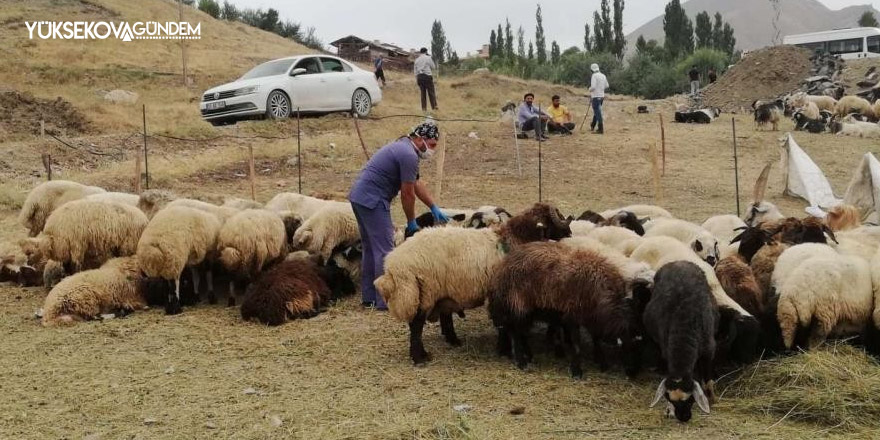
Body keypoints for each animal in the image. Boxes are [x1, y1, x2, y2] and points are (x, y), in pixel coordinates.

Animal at [18, 200, 149, 276]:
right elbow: (67, 265)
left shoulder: (77, 246)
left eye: (29, 252)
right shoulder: (68, 249)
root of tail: (144, 218)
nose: (28, 264)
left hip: (128, 244)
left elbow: (75, 266)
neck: (54, 237)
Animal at [376, 203, 572, 364]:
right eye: (554, 218)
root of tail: (393, 263)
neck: (510, 240)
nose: (569, 233)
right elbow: (504, 325)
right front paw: (505, 350)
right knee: (416, 325)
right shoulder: (500, 294)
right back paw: (419, 358)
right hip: (424, 292)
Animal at [484, 241, 648, 378]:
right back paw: (521, 361)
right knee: (516, 334)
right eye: (630, 347)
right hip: (518, 305)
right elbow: (576, 345)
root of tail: (502, 267)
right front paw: (576, 371)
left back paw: (529, 356)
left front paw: (601, 362)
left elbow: (596, 339)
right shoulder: (573, 315)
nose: (633, 374)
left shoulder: (591, 317)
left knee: (521, 333)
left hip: (527, 311)